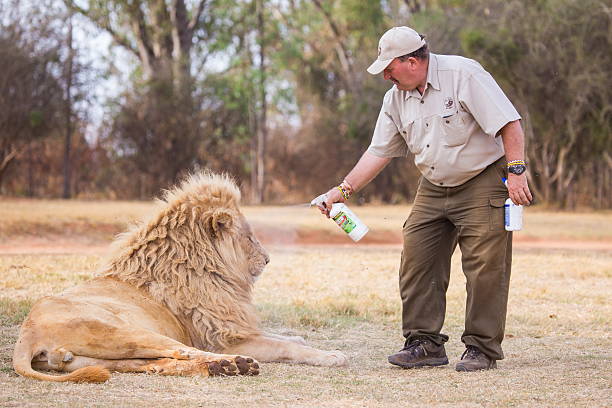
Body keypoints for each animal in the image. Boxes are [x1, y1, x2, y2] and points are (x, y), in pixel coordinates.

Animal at [11, 172, 346, 382]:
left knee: (157, 363)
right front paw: (330, 355)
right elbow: (285, 347)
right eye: (249, 236)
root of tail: (27, 335)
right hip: (124, 330)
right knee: (184, 350)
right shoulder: (223, 336)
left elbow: (281, 337)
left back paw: (222, 369)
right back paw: (234, 364)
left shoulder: (236, 326)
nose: (267, 259)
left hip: (100, 358)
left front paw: (299, 336)